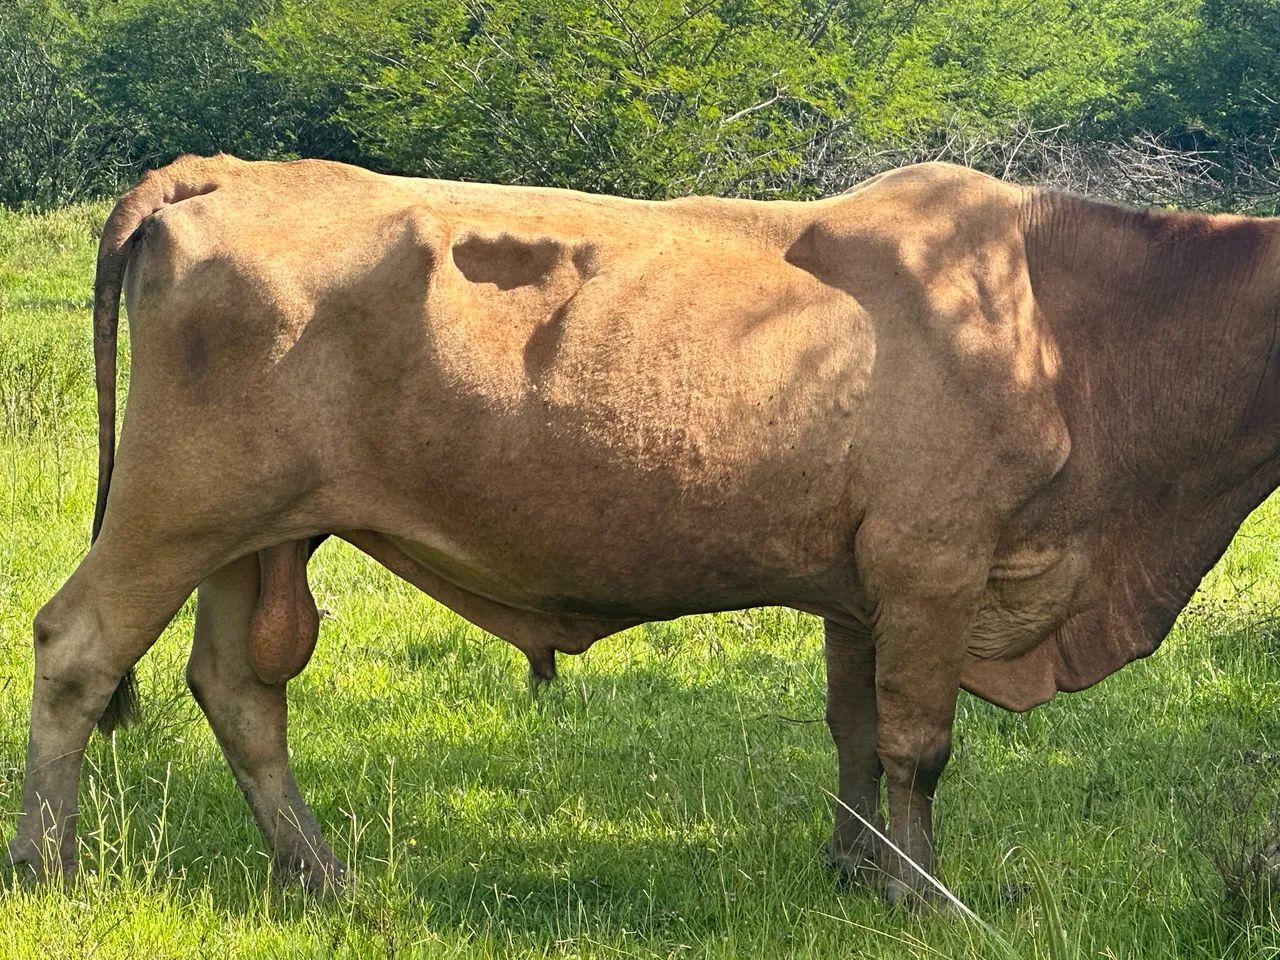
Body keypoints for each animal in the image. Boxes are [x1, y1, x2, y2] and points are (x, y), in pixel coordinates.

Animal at [8, 155, 1280, 905]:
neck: (1068, 324)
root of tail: (218, 171)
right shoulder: (933, 561)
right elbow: (918, 743)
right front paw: (921, 895)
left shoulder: (863, 581)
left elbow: (856, 731)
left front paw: (853, 867)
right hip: (177, 507)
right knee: (78, 648)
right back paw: (49, 863)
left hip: (255, 536)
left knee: (237, 689)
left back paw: (321, 874)